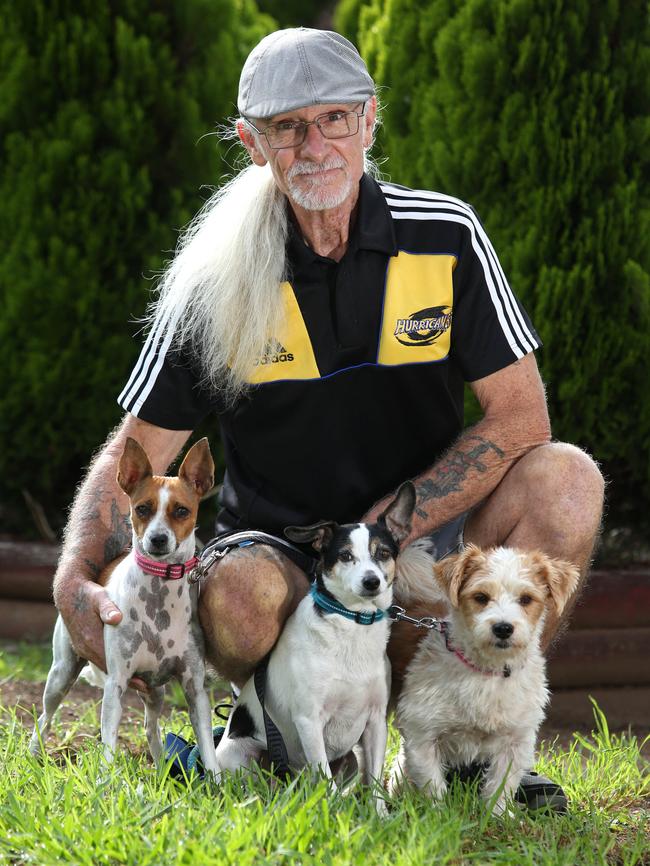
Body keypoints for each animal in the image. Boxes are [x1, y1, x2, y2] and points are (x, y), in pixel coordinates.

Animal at [30, 436, 219, 772]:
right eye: (142, 508)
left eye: (181, 511)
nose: (158, 539)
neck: (159, 597)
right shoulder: (116, 685)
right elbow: (108, 746)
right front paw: (104, 782)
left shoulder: (195, 689)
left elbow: (208, 748)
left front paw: (217, 781)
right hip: (61, 675)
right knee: (44, 718)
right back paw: (33, 753)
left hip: (155, 692)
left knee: (151, 727)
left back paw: (161, 766)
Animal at [213, 482, 416, 808]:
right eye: (345, 556)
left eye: (383, 553)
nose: (371, 581)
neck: (353, 625)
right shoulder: (309, 720)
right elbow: (324, 777)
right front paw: (334, 812)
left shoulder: (375, 723)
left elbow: (373, 783)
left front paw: (379, 814)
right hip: (242, 756)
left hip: (350, 761)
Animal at [390, 544, 576, 812]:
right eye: (480, 597)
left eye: (526, 599)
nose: (503, 628)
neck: (487, 671)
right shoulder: (422, 735)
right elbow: (432, 786)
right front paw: (437, 815)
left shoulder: (515, 742)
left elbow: (500, 787)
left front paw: (497, 816)